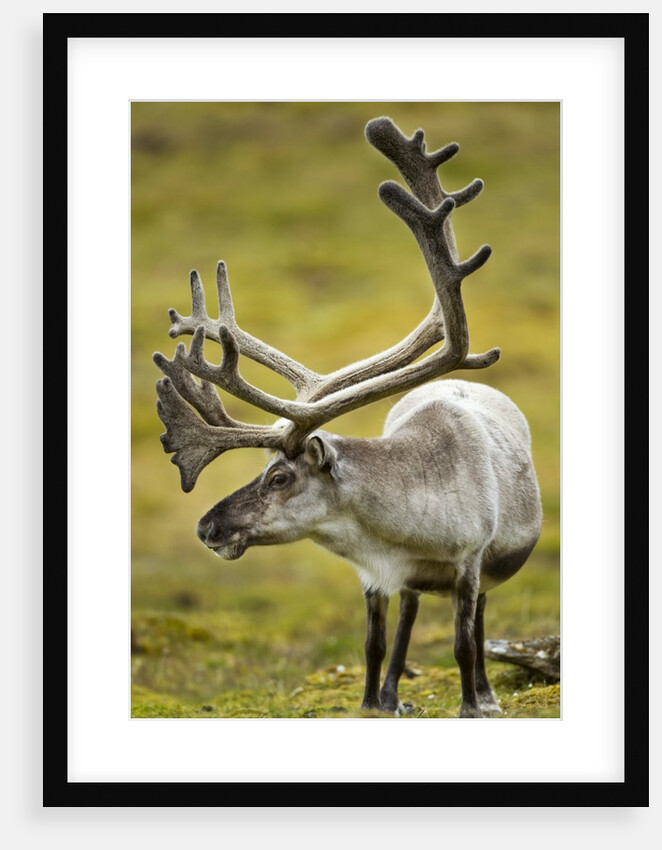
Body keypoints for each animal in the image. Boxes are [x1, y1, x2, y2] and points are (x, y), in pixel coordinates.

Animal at [153, 116, 543, 718]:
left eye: (280, 477)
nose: (205, 526)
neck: (404, 527)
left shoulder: (471, 560)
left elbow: (462, 639)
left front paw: (473, 704)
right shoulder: (373, 574)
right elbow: (373, 642)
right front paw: (373, 703)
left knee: (476, 624)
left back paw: (484, 691)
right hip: (410, 587)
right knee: (408, 613)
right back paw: (394, 694)